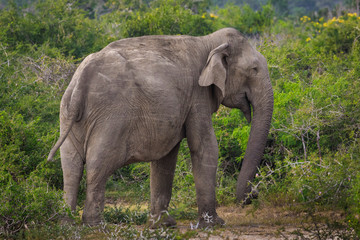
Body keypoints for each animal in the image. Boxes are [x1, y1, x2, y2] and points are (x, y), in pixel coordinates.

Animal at [47, 27, 272, 228]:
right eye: (254, 69)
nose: (253, 195)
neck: (209, 42)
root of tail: (82, 80)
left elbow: (166, 157)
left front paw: (163, 225)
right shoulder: (197, 95)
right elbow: (205, 148)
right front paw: (214, 224)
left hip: (67, 112)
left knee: (71, 167)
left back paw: (66, 223)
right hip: (111, 115)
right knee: (98, 163)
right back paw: (95, 225)